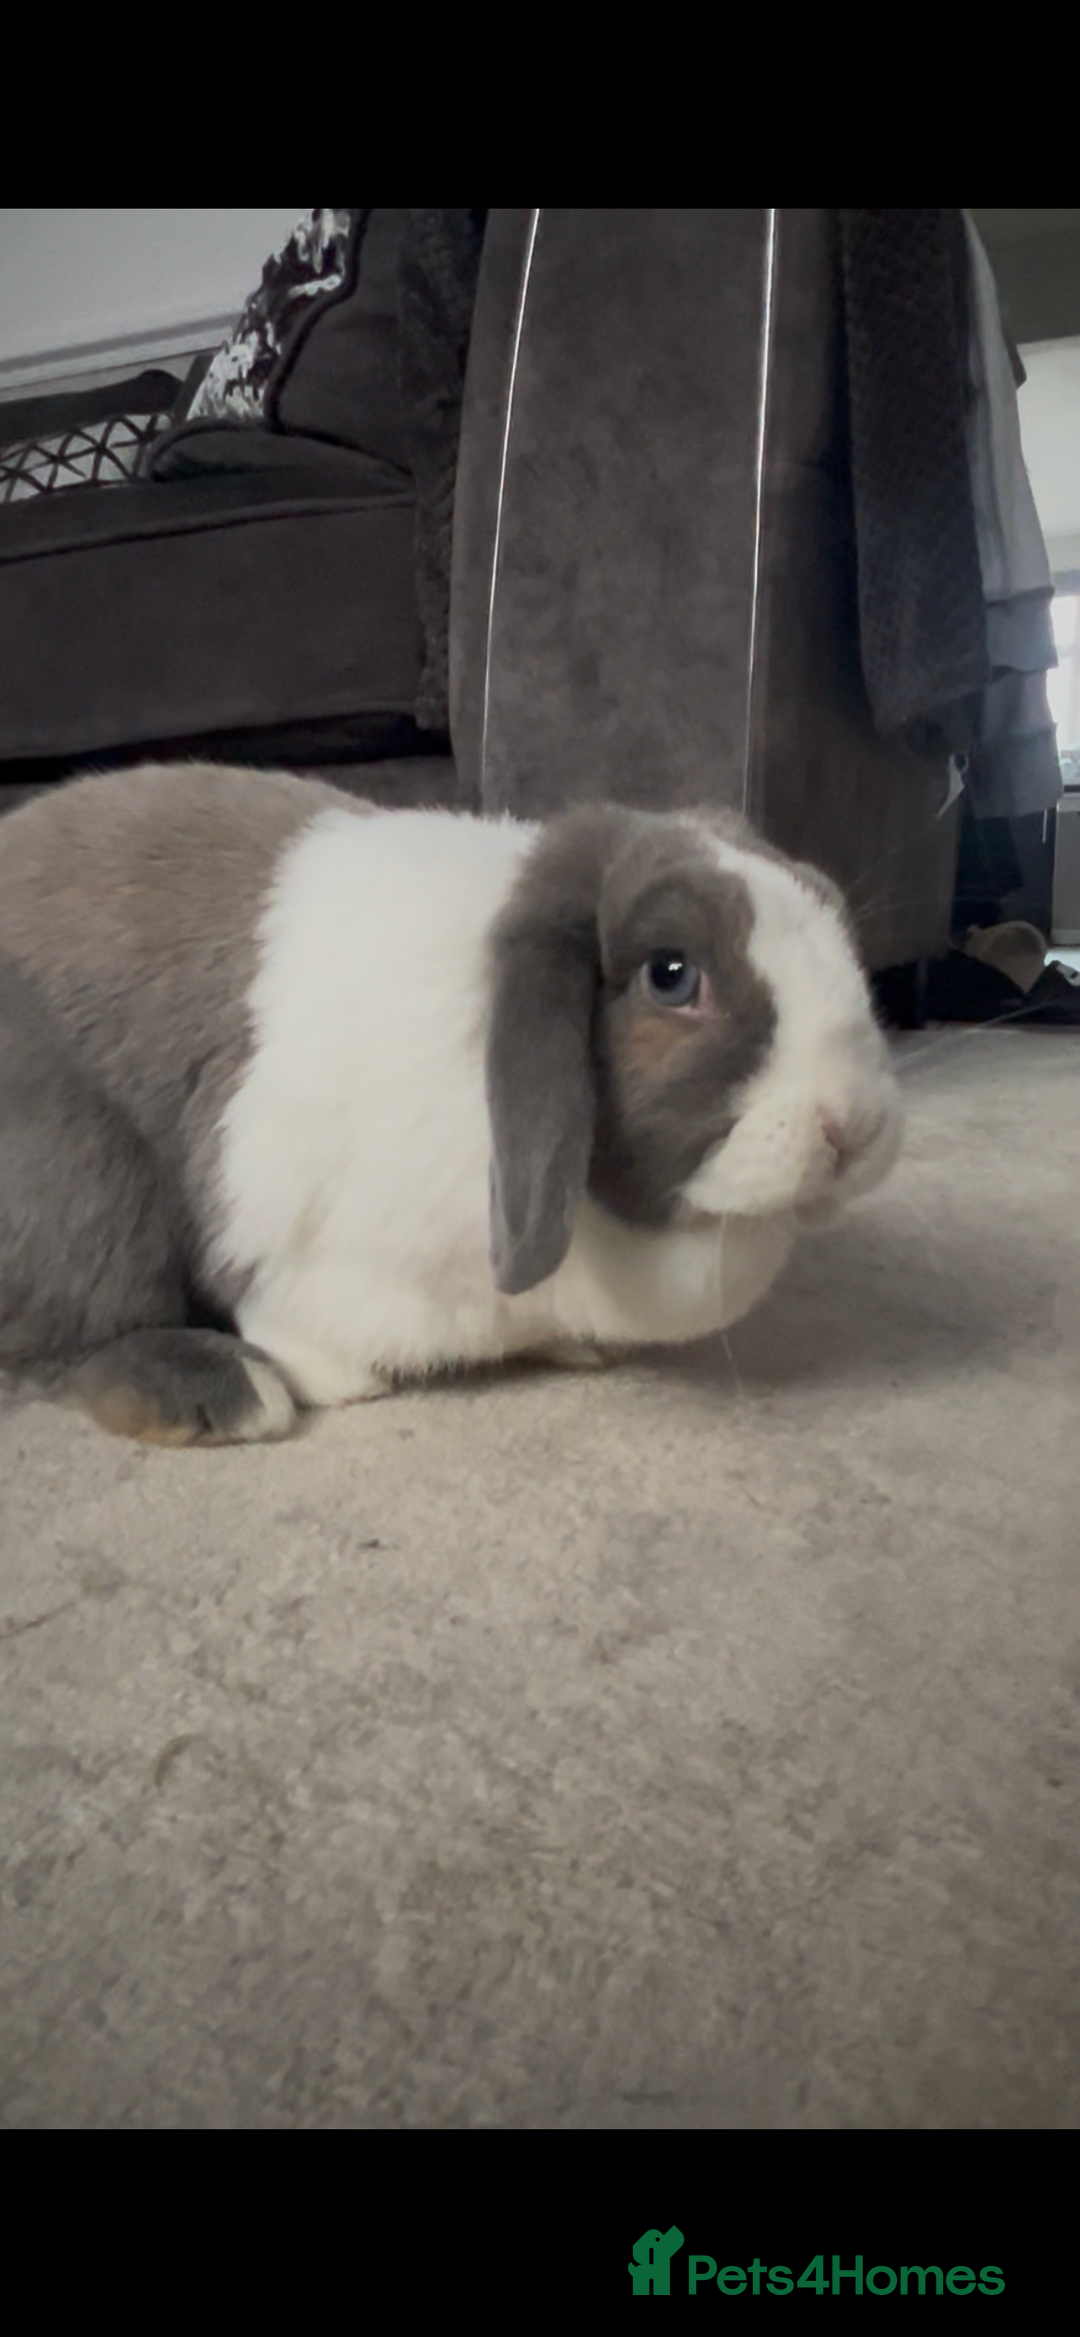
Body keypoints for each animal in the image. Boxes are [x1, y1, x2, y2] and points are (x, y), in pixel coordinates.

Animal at [0, 761, 902, 1445]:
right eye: (671, 974)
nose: (855, 1125)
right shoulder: (281, 1214)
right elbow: (268, 1295)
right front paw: (340, 1378)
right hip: (83, 1181)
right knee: (80, 1332)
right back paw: (227, 1395)